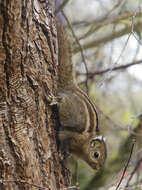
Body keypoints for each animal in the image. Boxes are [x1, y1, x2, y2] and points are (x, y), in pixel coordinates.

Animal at [56, 21, 106, 170]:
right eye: (96, 154)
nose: (97, 169)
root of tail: (71, 87)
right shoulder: (70, 136)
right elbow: (64, 141)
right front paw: (62, 153)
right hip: (68, 107)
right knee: (62, 101)